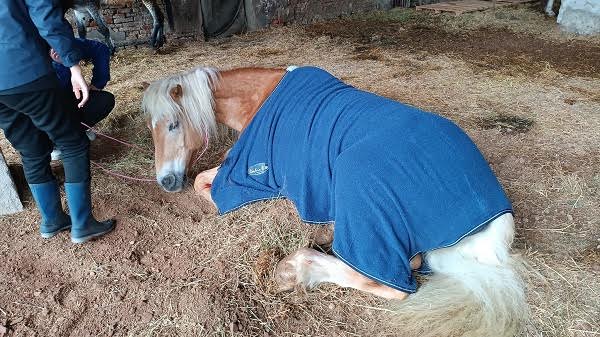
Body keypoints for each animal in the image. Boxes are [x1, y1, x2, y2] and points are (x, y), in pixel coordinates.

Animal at [143, 65, 528, 336]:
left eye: (174, 124)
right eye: (151, 128)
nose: (165, 182)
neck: (261, 97)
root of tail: (492, 229)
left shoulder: (252, 176)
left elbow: (203, 184)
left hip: (357, 182)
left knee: (390, 279)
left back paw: (295, 268)